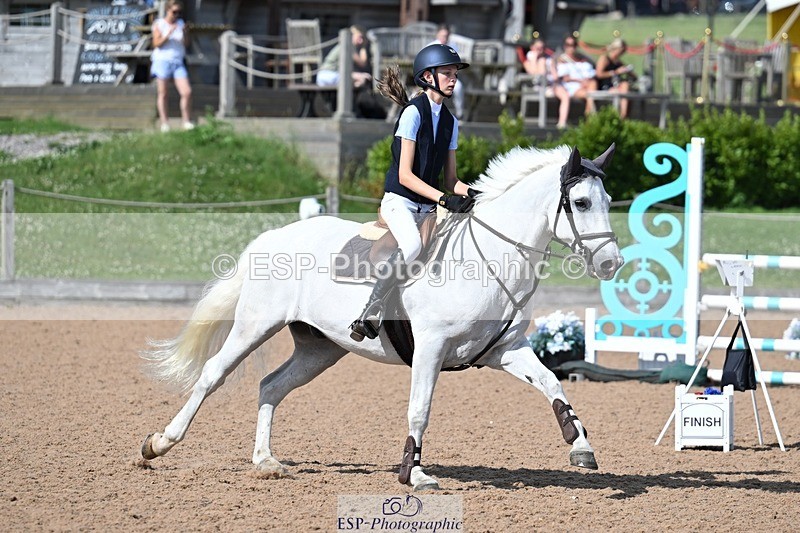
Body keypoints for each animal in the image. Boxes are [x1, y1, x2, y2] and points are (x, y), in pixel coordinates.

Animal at [140, 143, 623, 491]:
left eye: (608, 200)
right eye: (581, 203)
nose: (611, 264)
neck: (490, 258)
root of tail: (273, 235)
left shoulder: (504, 350)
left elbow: (553, 384)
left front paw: (580, 447)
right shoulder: (431, 348)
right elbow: (419, 409)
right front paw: (416, 474)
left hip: (320, 349)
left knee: (271, 386)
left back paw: (265, 461)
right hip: (254, 326)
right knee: (212, 374)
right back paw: (159, 443)